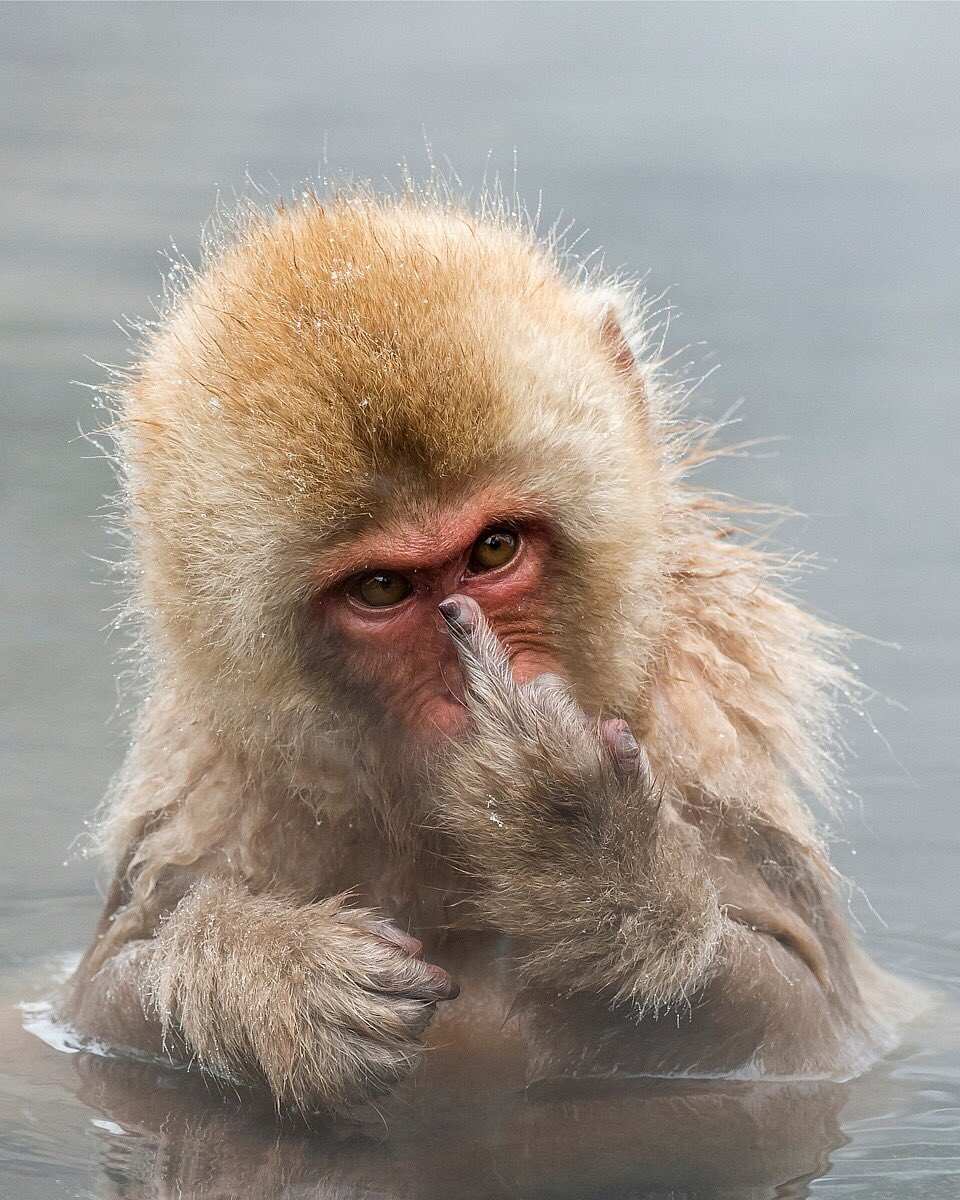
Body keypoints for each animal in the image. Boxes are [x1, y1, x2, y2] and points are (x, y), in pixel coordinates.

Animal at [57, 190, 917, 1116]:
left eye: (495, 549)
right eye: (382, 590)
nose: (469, 686)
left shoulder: (708, 748)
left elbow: (813, 1024)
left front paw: (581, 847)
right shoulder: (210, 798)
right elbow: (93, 1006)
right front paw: (266, 973)